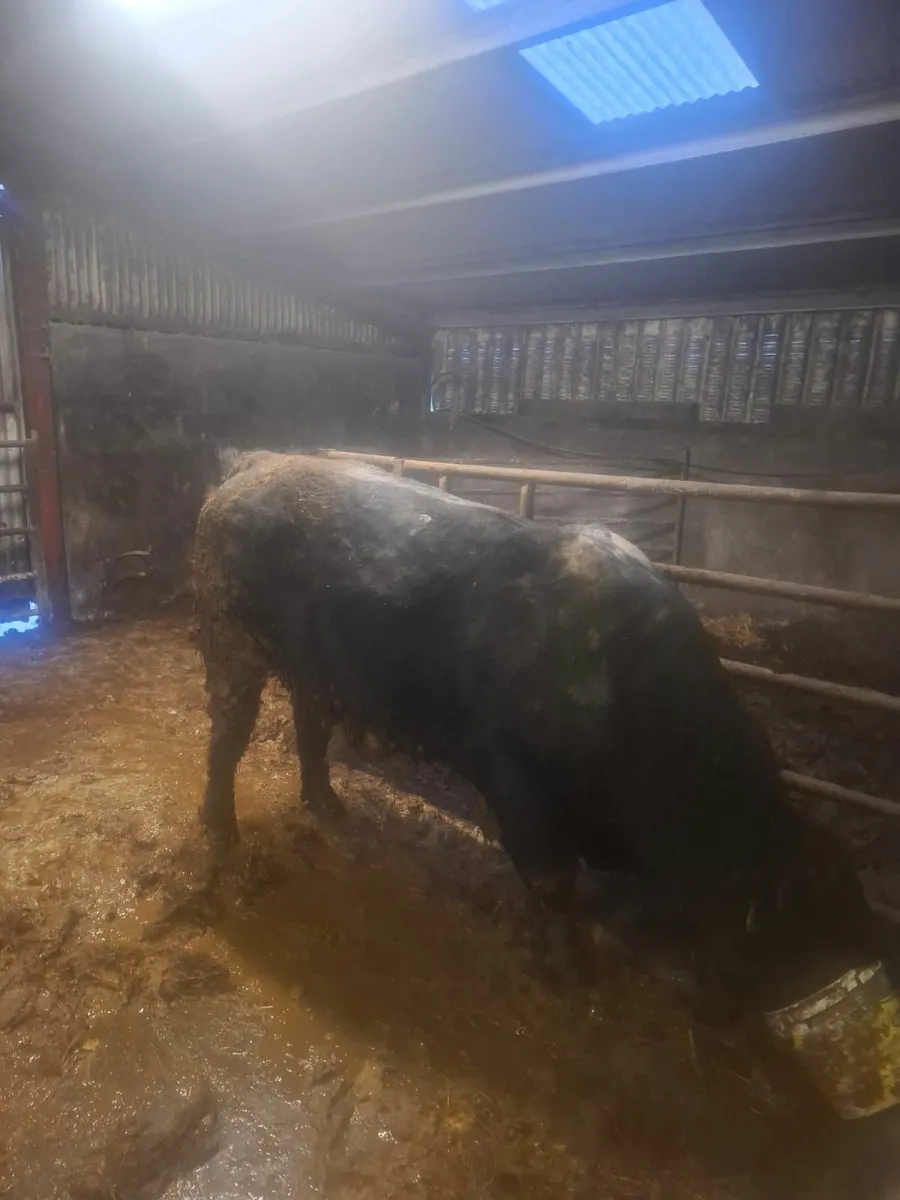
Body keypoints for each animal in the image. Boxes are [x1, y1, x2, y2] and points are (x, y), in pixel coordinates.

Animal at [193, 451, 900, 1196]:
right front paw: (570, 964)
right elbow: (552, 882)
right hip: (231, 645)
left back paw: (326, 805)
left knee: (310, 723)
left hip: (315, 668)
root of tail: (253, 470)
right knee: (227, 740)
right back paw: (220, 830)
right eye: (803, 933)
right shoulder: (515, 783)